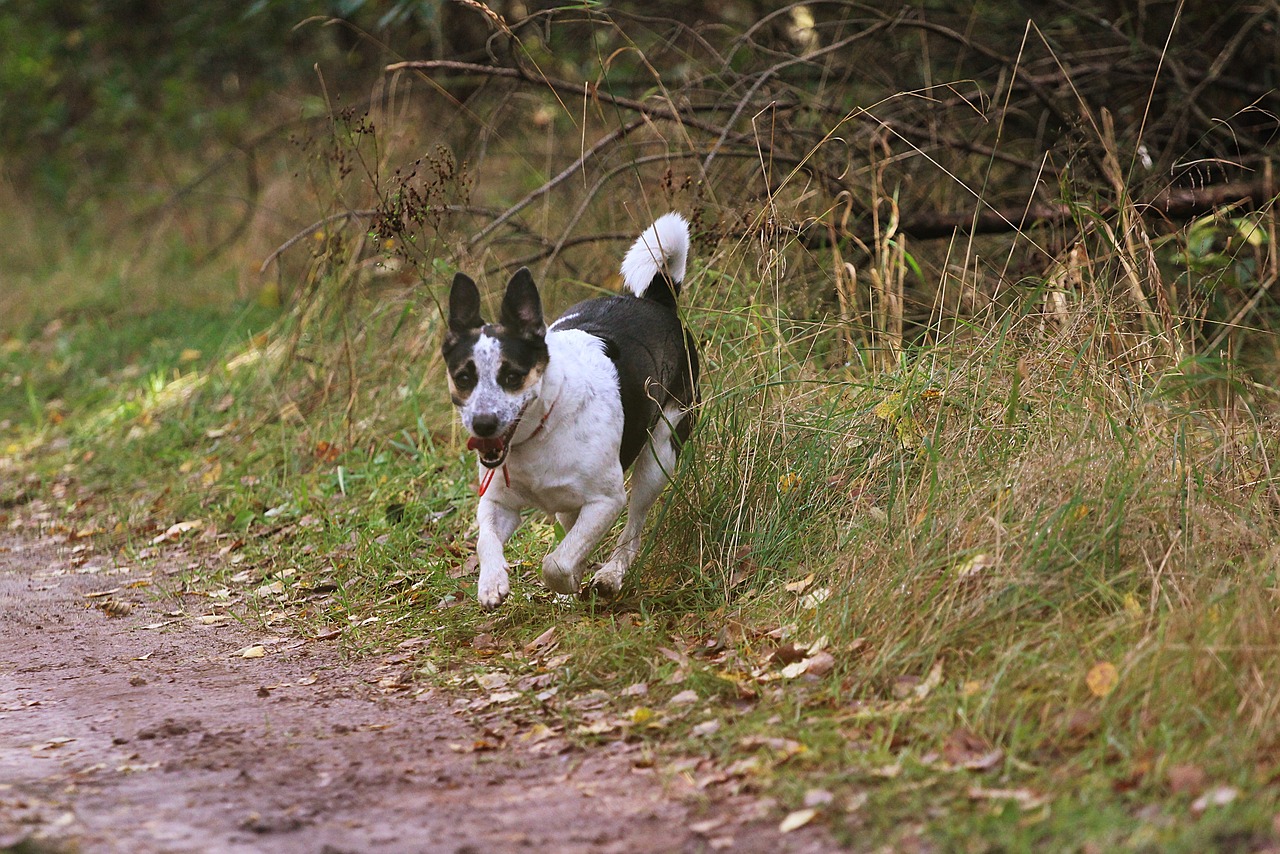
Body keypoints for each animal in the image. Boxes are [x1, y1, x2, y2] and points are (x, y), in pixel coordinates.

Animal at [442, 215, 701, 614]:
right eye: (464, 377)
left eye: (512, 376)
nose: (483, 424)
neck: (538, 433)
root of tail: (656, 300)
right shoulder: (499, 502)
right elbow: (487, 540)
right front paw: (492, 582)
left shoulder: (606, 501)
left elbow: (557, 563)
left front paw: (571, 582)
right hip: (573, 501)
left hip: (660, 456)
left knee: (633, 527)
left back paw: (611, 575)